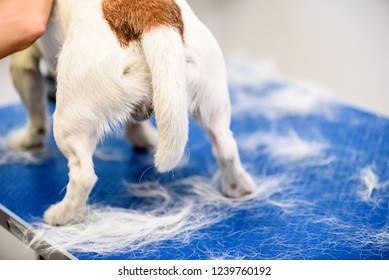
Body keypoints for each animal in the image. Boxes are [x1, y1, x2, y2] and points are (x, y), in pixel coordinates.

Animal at [8, 0, 255, 226]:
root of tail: (155, 17)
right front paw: (141, 135)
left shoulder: (23, 62)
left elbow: (36, 113)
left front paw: (28, 140)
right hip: (211, 99)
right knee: (226, 147)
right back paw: (238, 188)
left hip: (71, 114)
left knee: (83, 175)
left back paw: (61, 215)